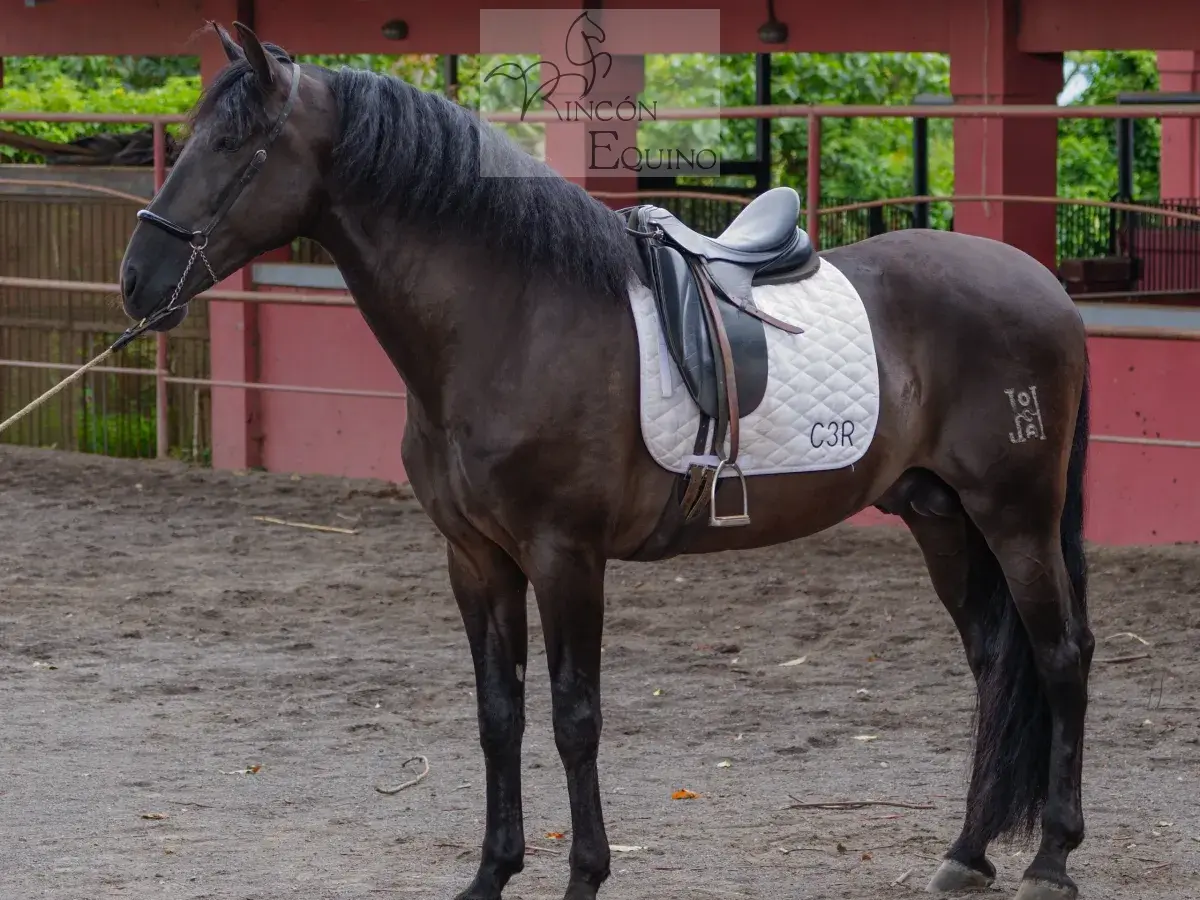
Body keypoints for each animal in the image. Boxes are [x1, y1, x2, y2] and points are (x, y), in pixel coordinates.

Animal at [118, 23, 1094, 900]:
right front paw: (491, 873)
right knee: (994, 665)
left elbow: (574, 718)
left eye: (234, 144)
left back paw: (1050, 860)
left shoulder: (566, 556)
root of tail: (1045, 285)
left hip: (1015, 513)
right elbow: (499, 715)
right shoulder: (476, 559)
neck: (512, 321)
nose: (137, 280)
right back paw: (967, 854)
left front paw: (585, 875)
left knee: (1060, 655)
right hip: (940, 515)